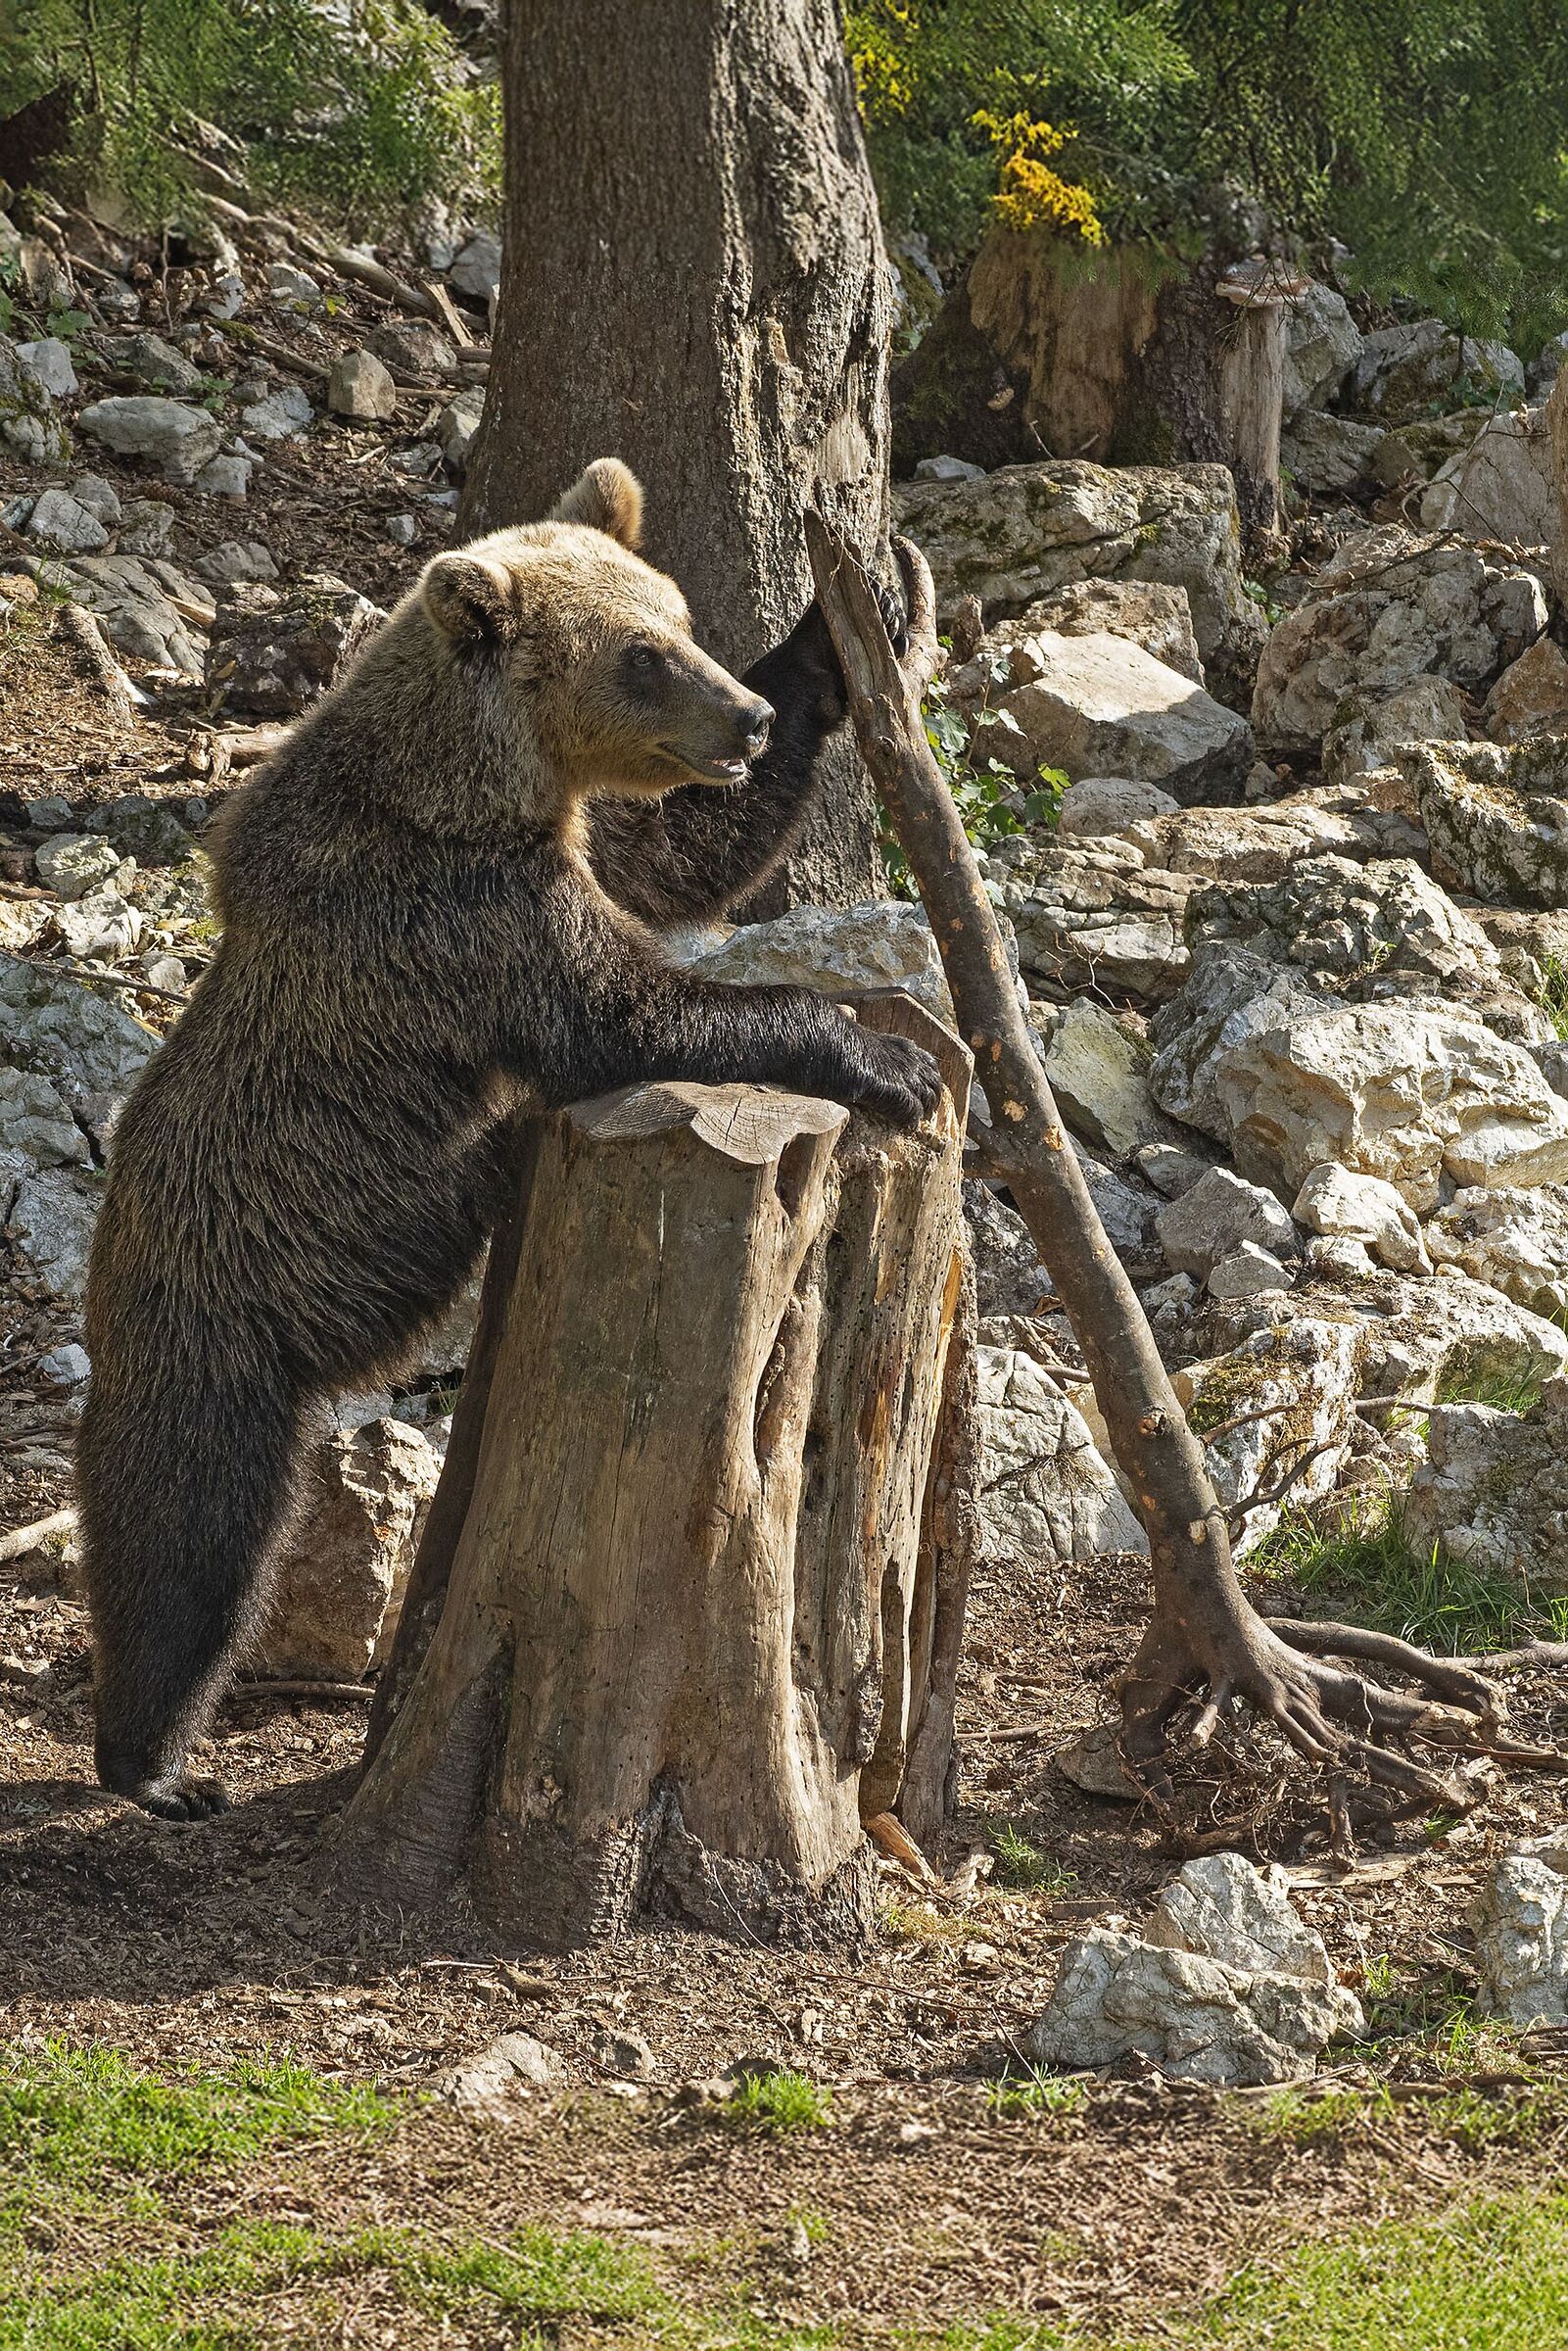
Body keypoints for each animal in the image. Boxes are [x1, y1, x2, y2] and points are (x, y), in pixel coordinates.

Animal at [78, 457, 942, 1819]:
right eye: (639, 655)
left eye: (679, 620)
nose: (742, 720)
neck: (475, 789)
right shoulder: (462, 918)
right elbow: (627, 1016)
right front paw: (888, 1059)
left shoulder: (568, 855)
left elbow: (678, 860)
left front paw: (862, 610)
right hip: (215, 1330)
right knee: (188, 1538)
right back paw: (155, 1763)